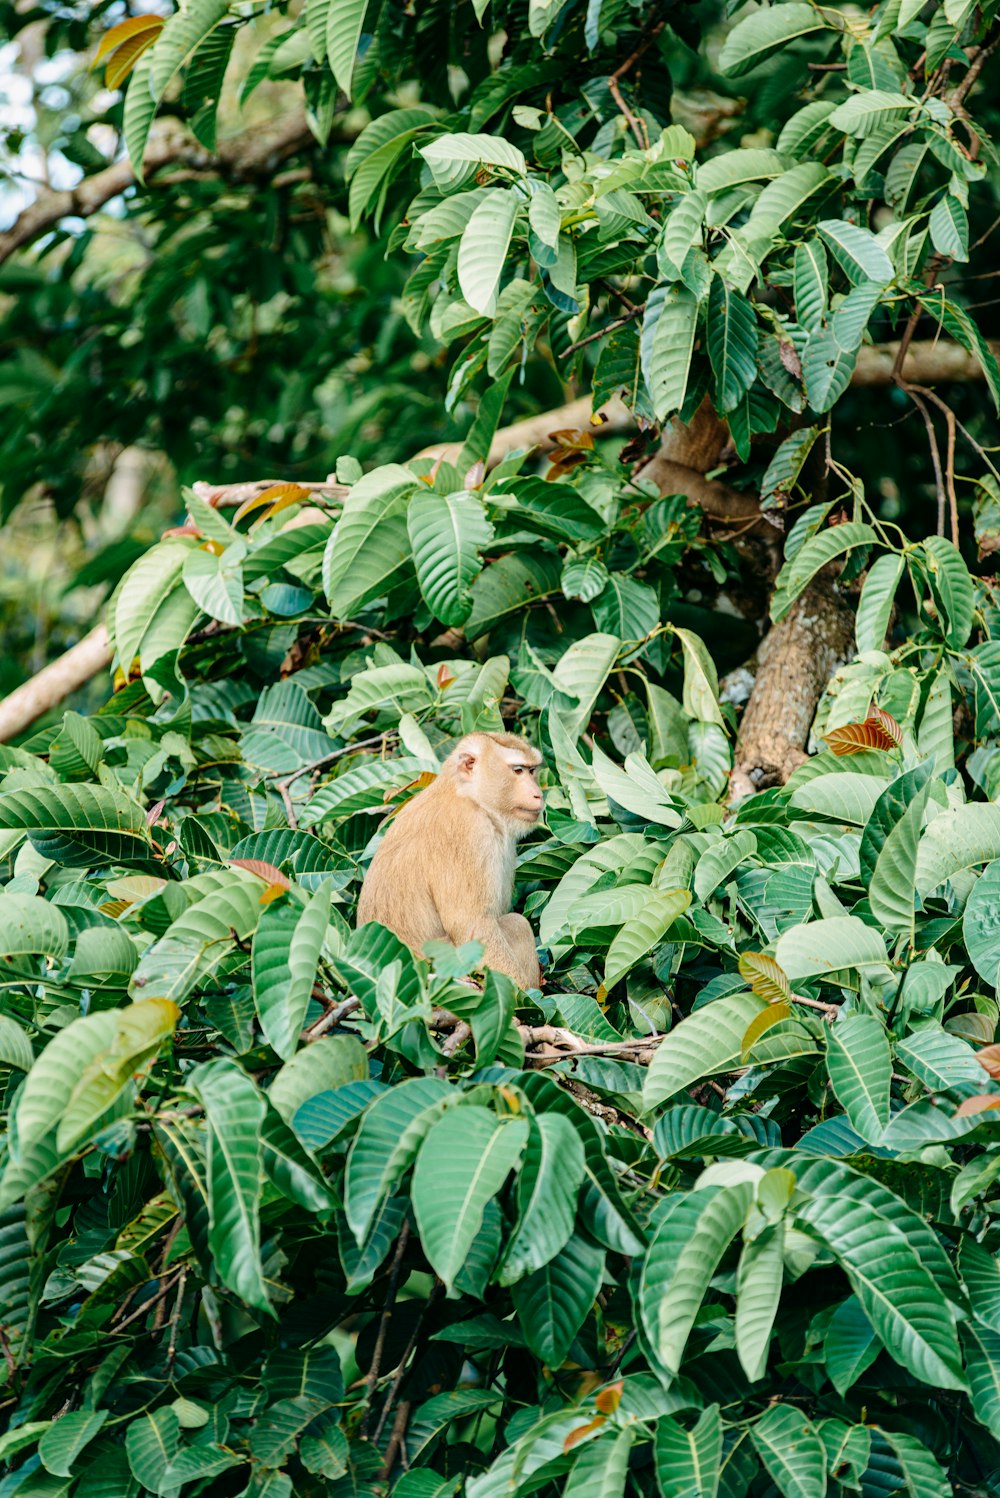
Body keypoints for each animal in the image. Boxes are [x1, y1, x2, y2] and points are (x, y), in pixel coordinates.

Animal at [357, 731, 547, 988]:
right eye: (518, 770)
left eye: (532, 770)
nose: (538, 794)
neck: (468, 795)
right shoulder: (470, 832)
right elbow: (473, 927)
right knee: (517, 924)